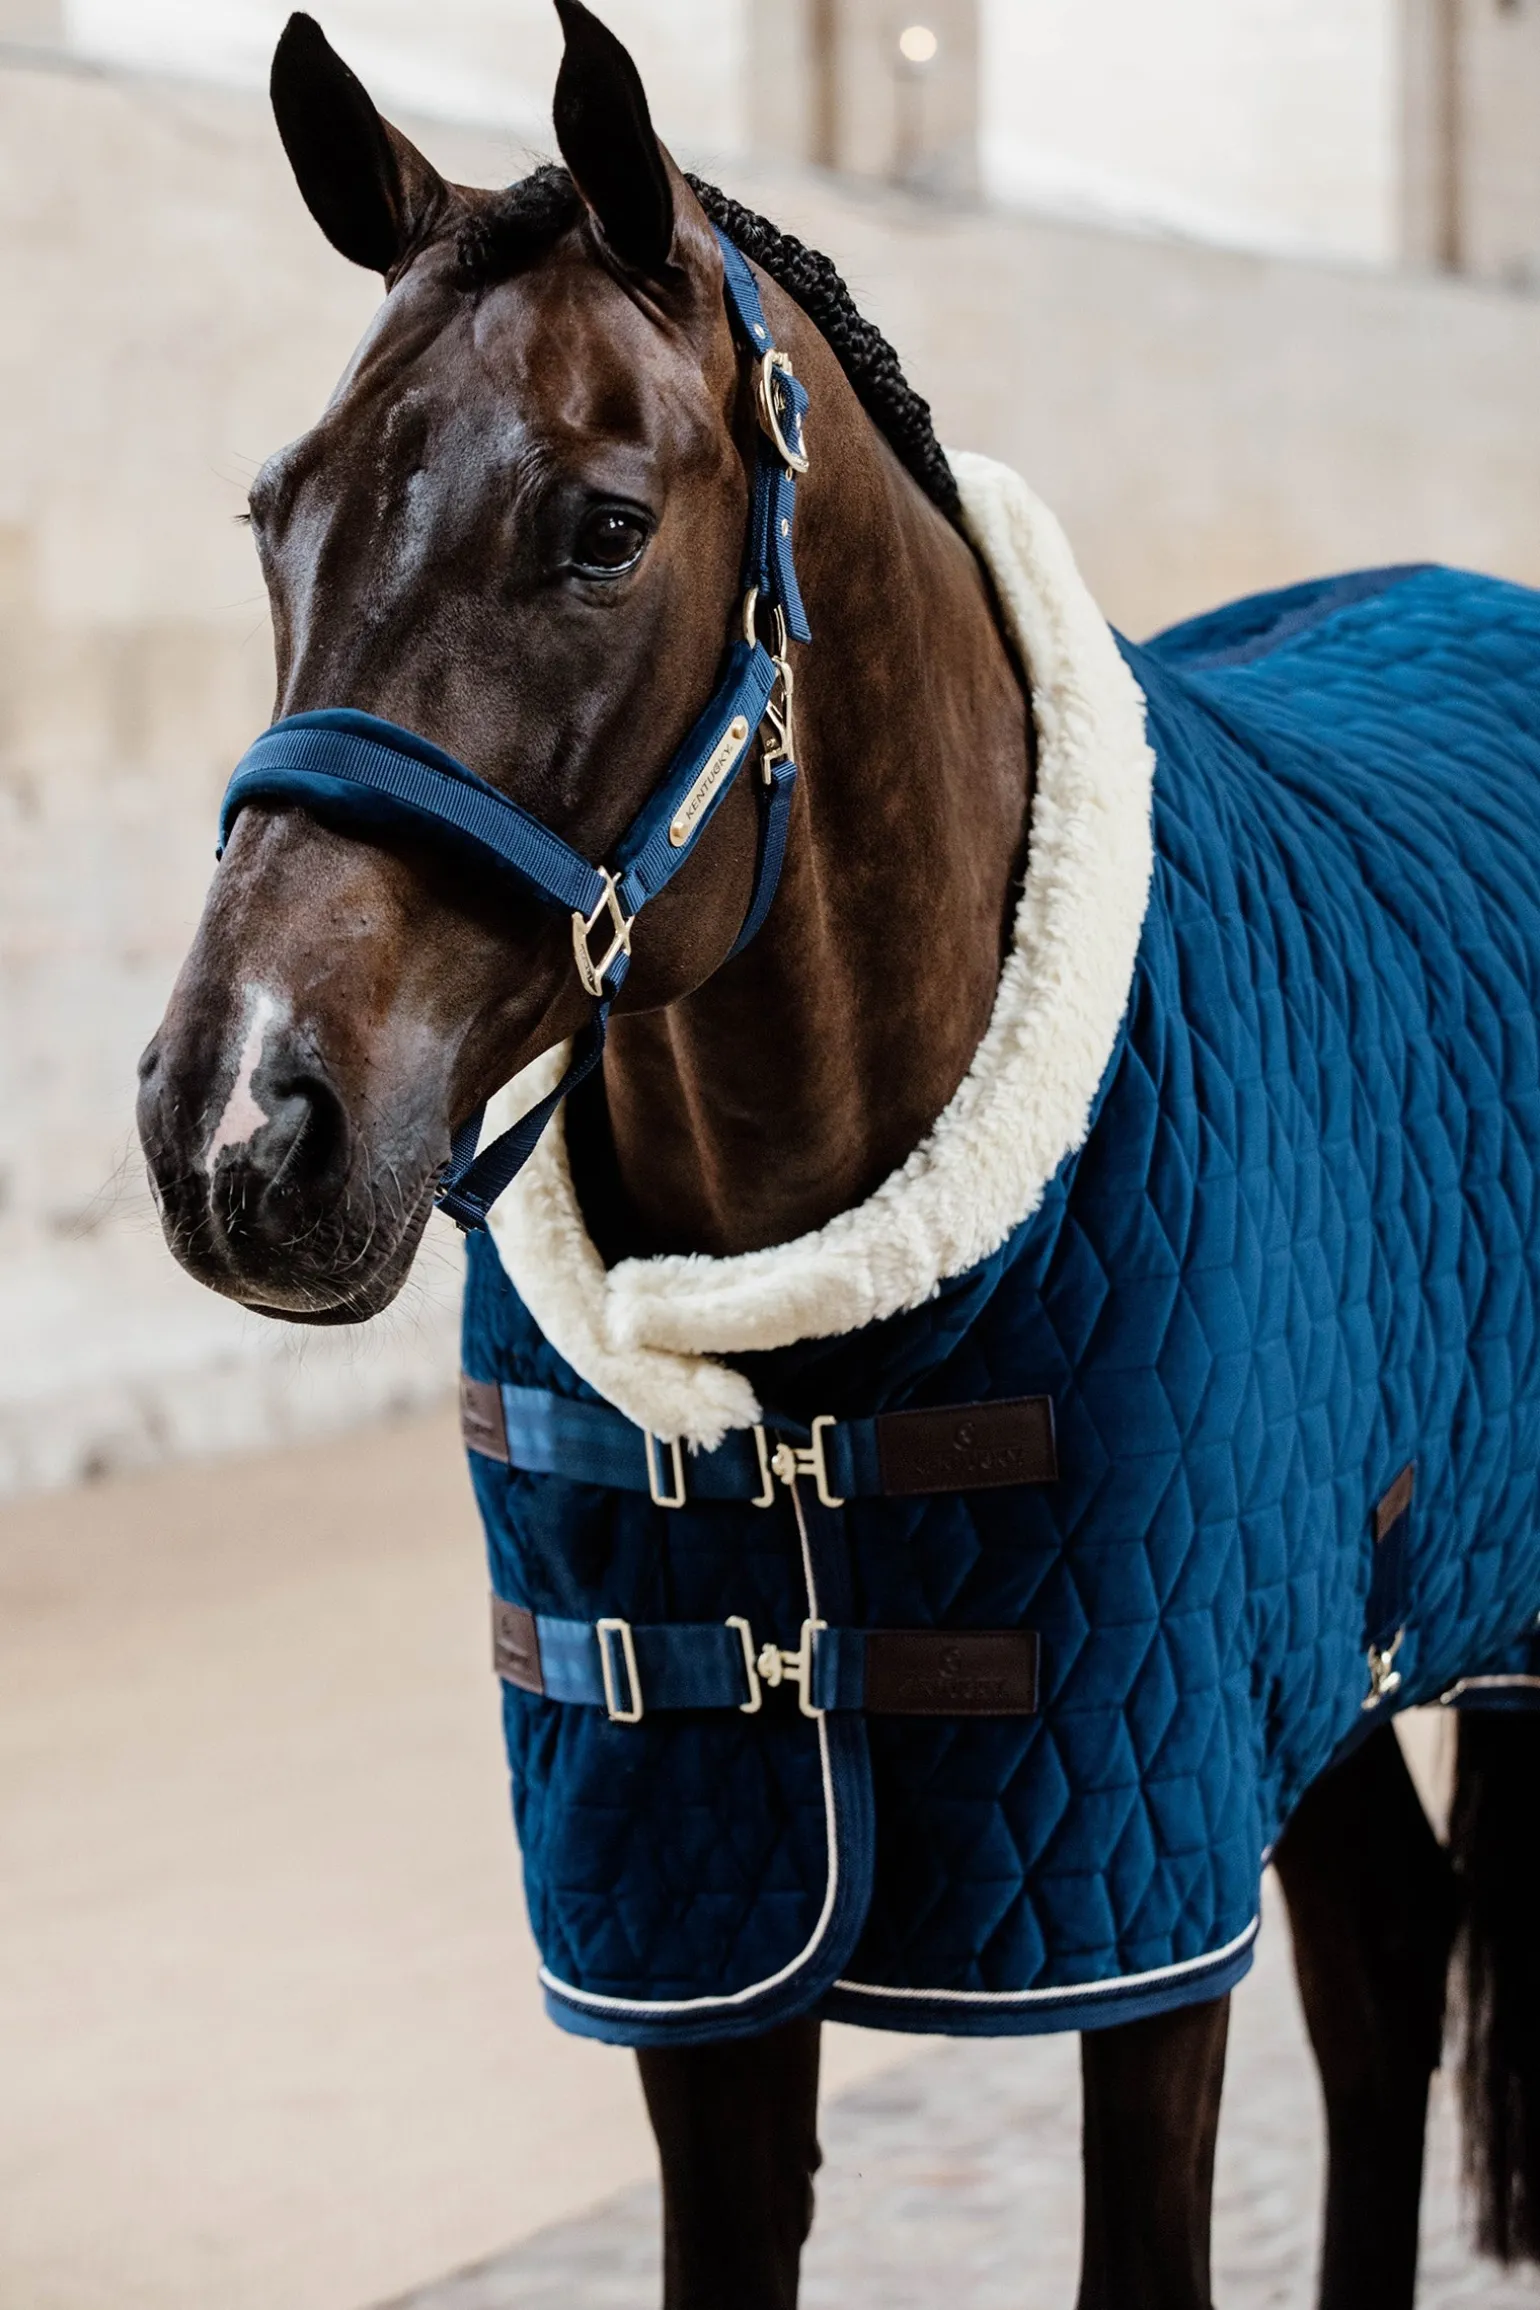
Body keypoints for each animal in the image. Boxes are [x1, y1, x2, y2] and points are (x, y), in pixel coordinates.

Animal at [136, 8, 1540, 2305]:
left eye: (603, 526)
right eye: (278, 513)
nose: (239, 1122)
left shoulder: (1132, 1878)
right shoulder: (698, 1919)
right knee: (1381, 1948)